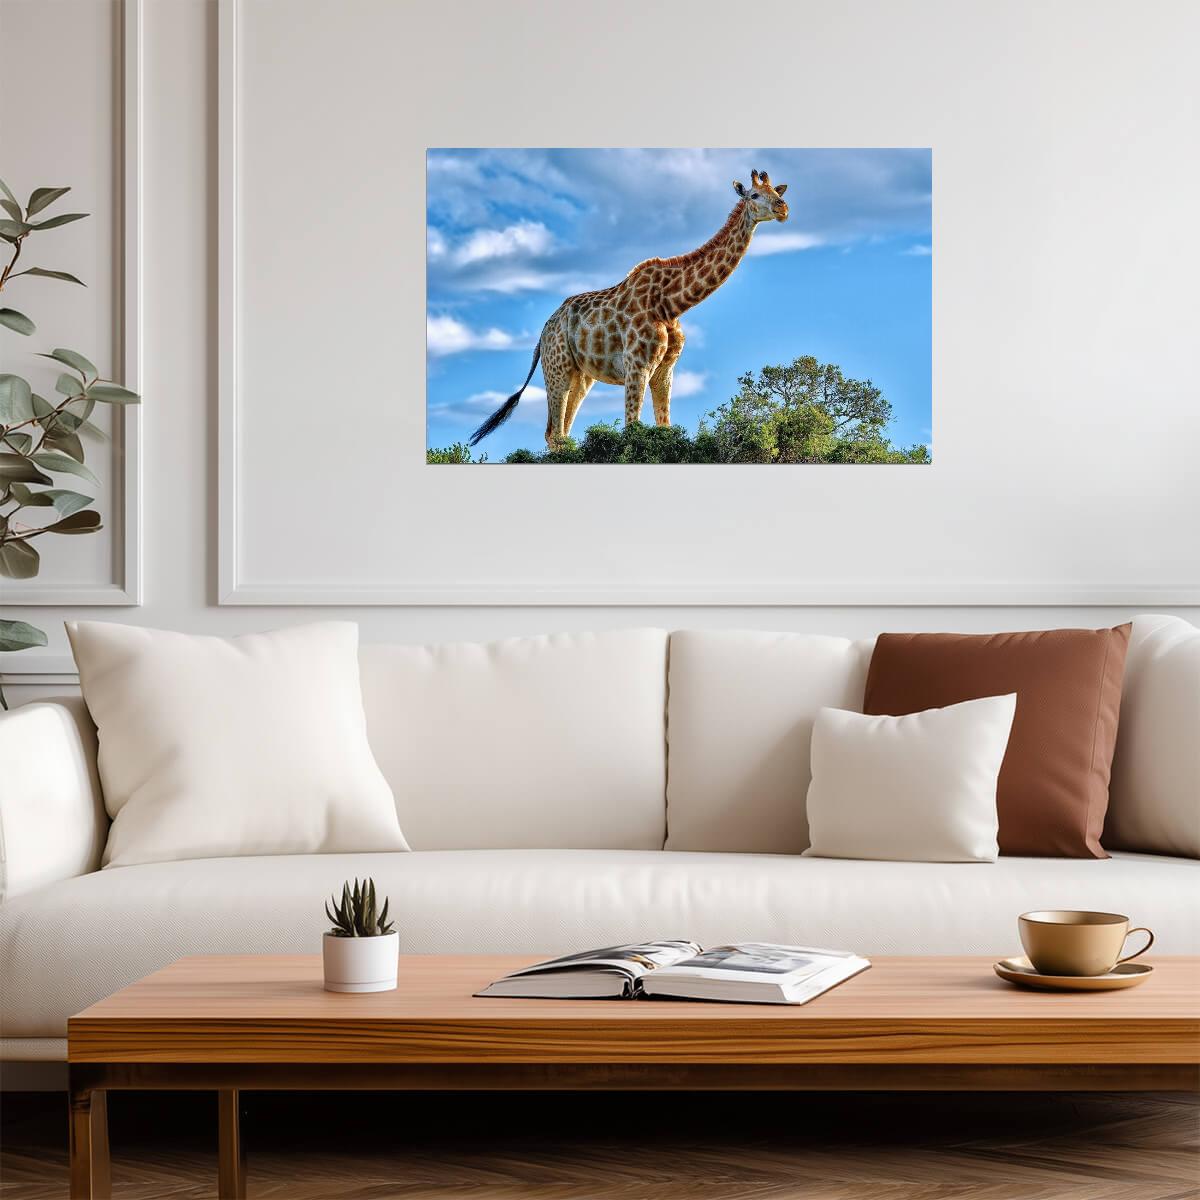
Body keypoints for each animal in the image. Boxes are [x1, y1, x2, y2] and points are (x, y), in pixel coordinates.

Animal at [468, 168, 790, 448]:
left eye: (776, 191)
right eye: (754, 195)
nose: (783, 208)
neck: (671, 304)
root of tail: (542, 332)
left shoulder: (664, 370)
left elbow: (664, 428)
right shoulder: (637, 366)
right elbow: (632, 429)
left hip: (580, 376)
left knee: (560, 433)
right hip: (556, 367)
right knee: (555, 433)